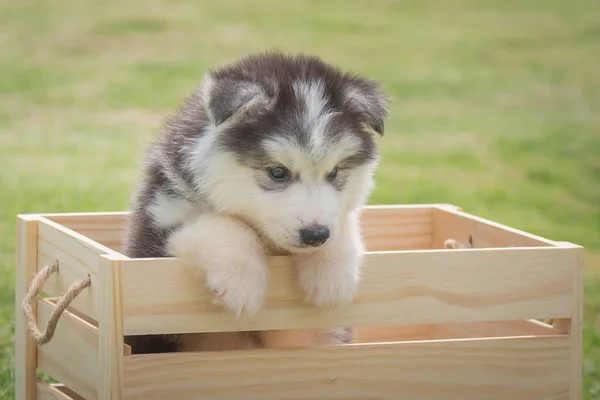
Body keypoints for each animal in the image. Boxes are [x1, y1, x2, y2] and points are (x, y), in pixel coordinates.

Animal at [123, 50, 390, 354]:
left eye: (334, 173)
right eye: (277, 172)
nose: (316, 235)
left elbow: (345, 220)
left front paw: (333, 274)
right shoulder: (155, 231)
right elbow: (222, 224)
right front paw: (240, 282)